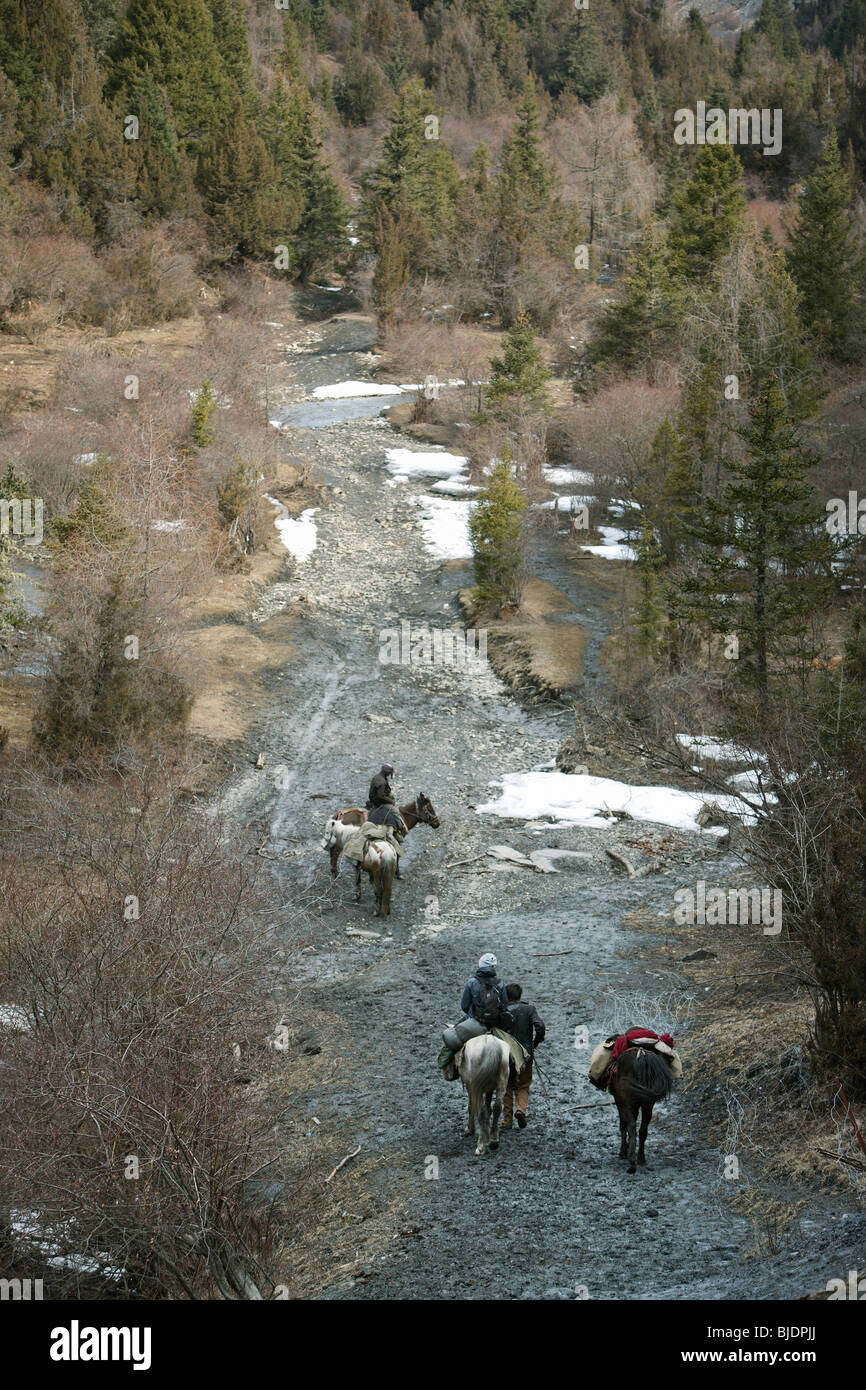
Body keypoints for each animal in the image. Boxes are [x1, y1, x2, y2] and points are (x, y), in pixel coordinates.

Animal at [606, 1045, 675, 1178]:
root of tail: (641, 1055)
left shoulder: (620, 1101)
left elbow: (623, 1125)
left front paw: (623, 1152)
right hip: (648, 1103)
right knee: (643, 1130)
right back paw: (641, 1159)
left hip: (627, 1100)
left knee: (631, 1127)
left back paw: (632, 1162)